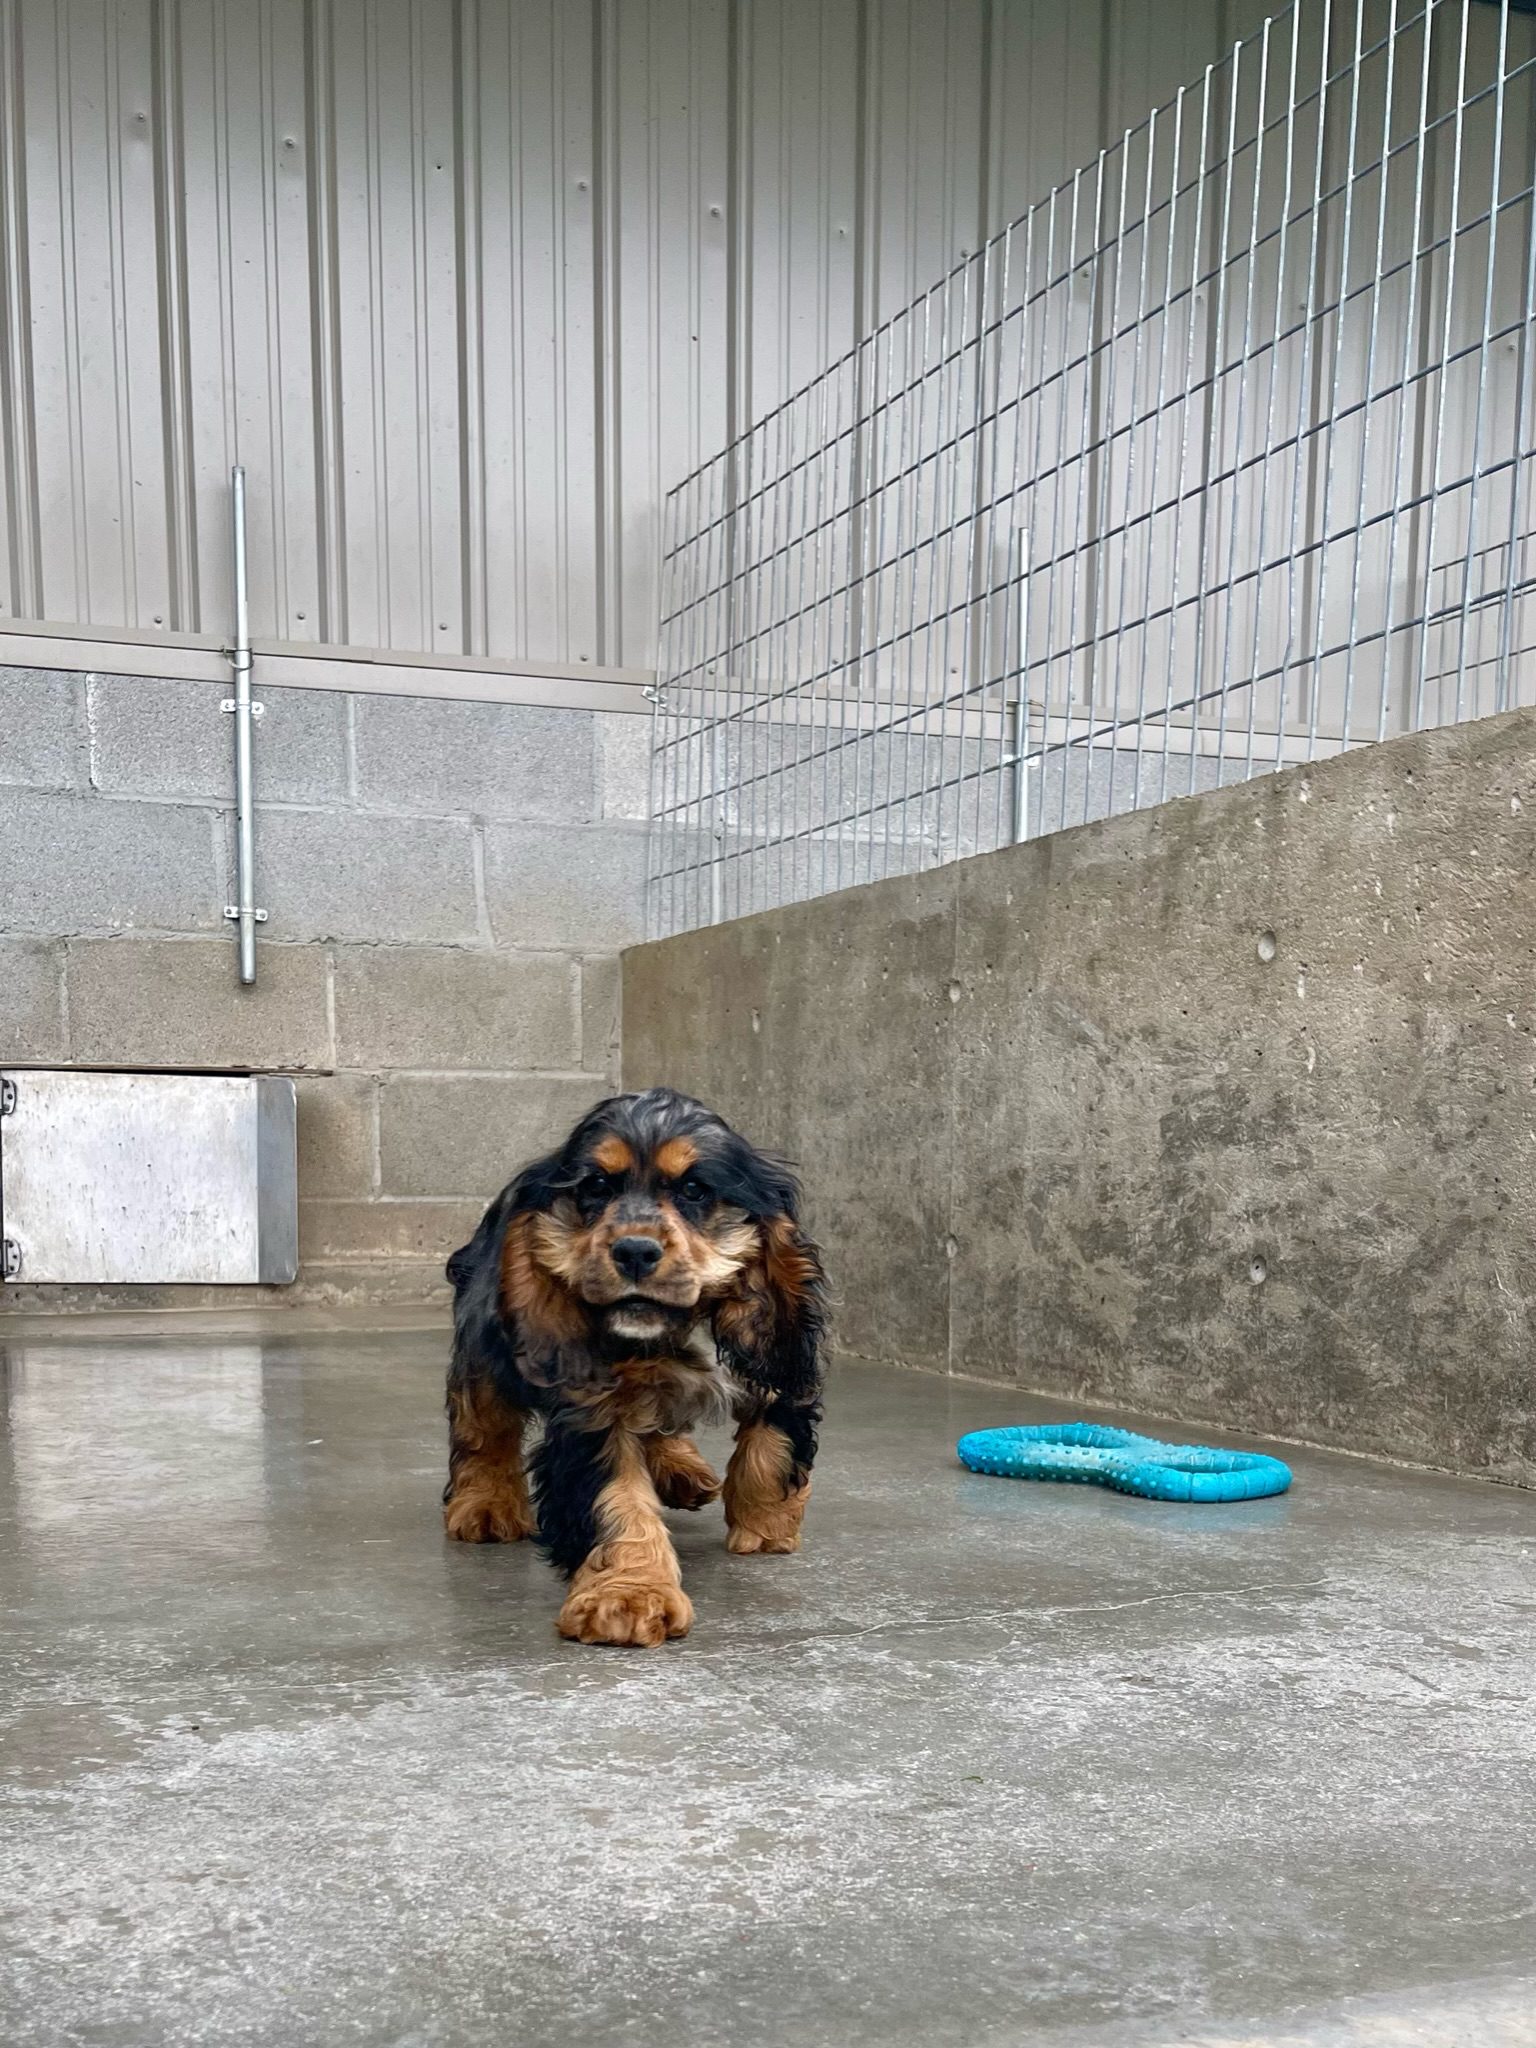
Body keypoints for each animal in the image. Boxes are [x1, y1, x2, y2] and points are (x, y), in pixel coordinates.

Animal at [444, 1089, 831, 1646]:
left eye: (694, 1189)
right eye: (596, 1187)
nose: (633, 1251)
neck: (674, 1329)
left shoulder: (778, 1361)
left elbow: (770, 1445)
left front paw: (766, 1526)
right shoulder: (592, 1410)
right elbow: (617, 1501)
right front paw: (628, 1597)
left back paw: (682, 1470)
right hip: (484, 1339)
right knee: (482, 1423)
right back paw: (485, 1505)